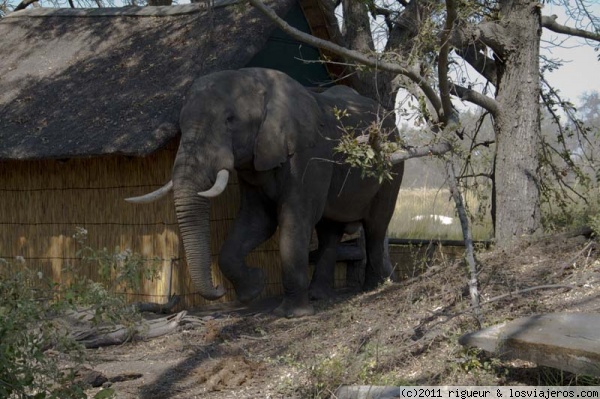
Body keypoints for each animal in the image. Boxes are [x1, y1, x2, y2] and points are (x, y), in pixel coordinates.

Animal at [126, 68, 404, 318]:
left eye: (230, 120)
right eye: (180, 126)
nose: (217, 289)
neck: (261, 85)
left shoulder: (307, 155)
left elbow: (293, 220)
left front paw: (293, 314)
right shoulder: (254, 164)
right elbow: (257, 220)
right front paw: (255, 286)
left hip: (391, 169)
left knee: (376, 226)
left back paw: (373, 288)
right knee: (330, 230)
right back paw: (320, 295)